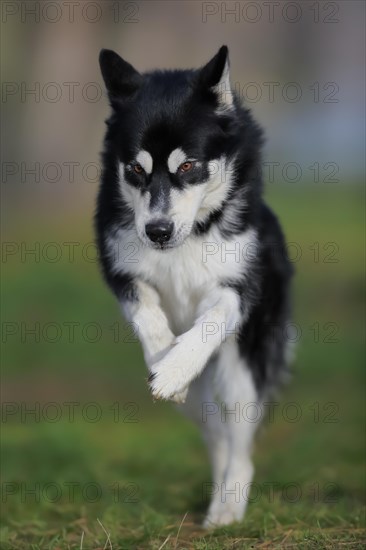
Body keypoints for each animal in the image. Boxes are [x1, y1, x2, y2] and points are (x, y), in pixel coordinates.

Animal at [96, 45, 294, 528]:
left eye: (187, 165)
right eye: (135, 169)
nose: (157, 231)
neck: (187, 239)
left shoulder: (238, 288)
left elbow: (210, 320)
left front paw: (175, 366)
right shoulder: (121, 272)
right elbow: (148, 314)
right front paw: (165, 362)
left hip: (242, 369)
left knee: (240, 444)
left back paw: (227, 509)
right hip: (197, 402)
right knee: (216, 432)